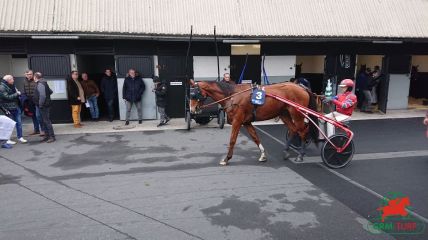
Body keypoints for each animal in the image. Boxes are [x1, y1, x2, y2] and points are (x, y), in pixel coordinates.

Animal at [190, 80, 318, 165]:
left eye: (195, 93)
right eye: (190, 94)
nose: (192, 109)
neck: (232, 96)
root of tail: (302, 88)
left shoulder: (237, 121)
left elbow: (232, 140)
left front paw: (226, 159)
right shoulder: (246, 122)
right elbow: (255, 137)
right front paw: (263, 155)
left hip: (297, 114)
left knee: (302, 131)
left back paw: (300, 155)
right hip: (284, 114)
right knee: (293, 130)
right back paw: (286, 152)